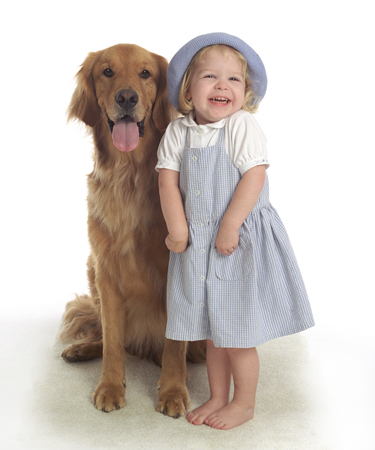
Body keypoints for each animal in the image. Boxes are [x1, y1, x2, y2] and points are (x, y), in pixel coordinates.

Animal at [59, 44, 206, 416]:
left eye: (145, 74)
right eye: (107, 72)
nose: (127, 97)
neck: (129, 176)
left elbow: (175, 344)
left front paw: (173, 390)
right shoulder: (106, 270)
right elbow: (112, 340)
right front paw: (110, 386)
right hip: (91, 269)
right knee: (113, 337)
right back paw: (83, 348)